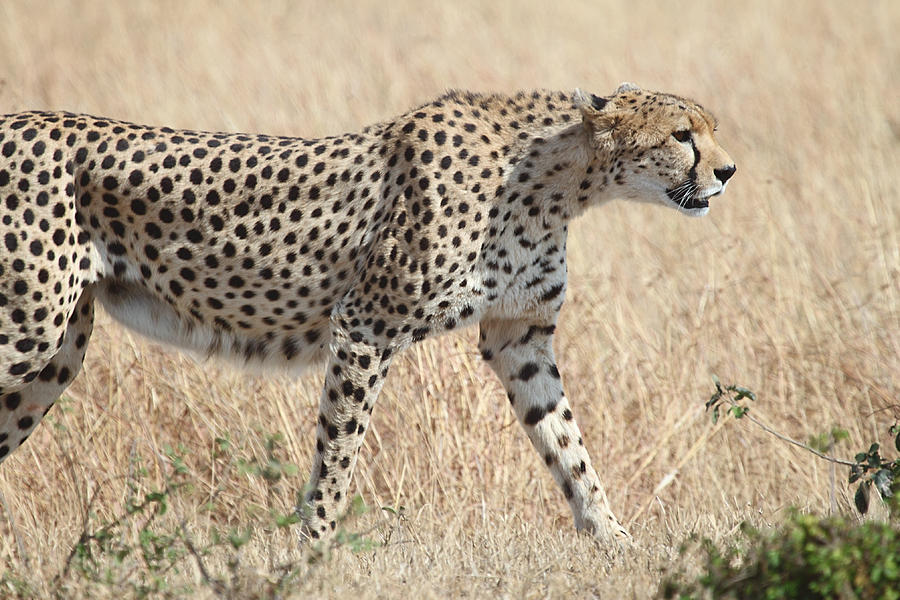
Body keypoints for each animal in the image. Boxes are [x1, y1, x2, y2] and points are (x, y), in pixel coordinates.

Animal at [0, 83, 732, 544]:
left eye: (710, 130)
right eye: (682, 135)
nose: (727, 172)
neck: (558, 177)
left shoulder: (519, 337)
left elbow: (569, 445)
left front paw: (615, 540)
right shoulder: (364, 328)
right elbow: (339, 451)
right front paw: (314, 549)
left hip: (57, 351)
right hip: (29, 331)